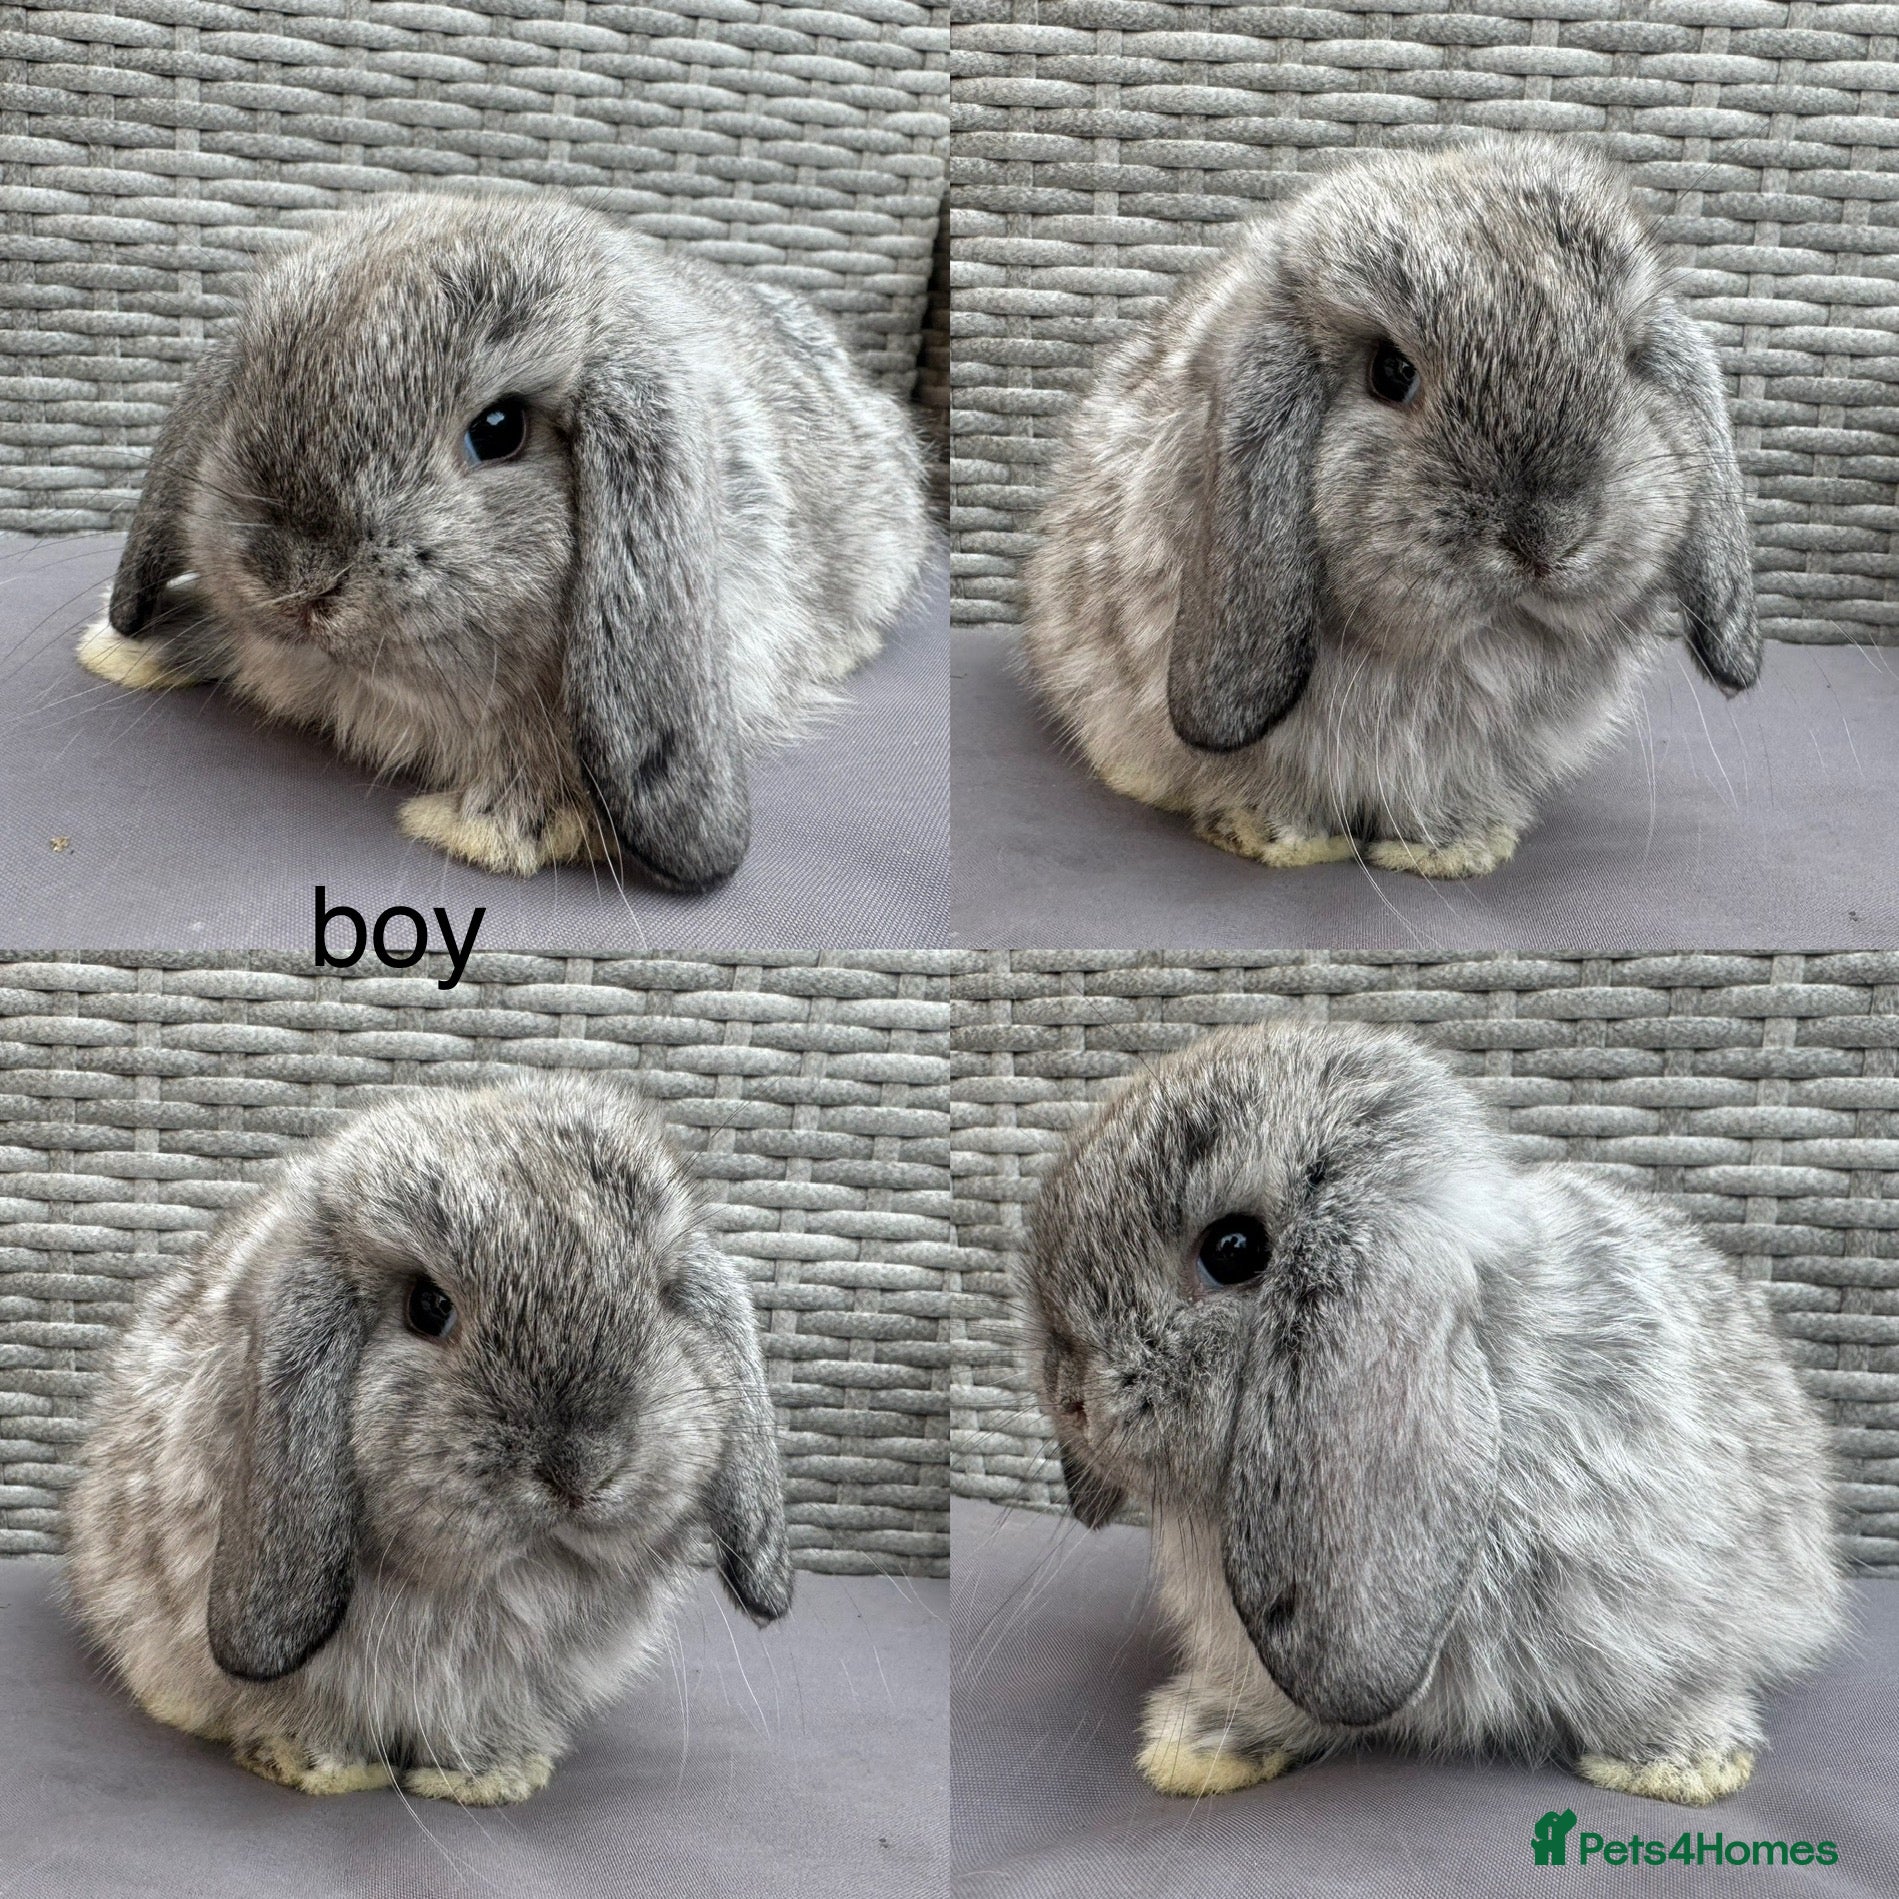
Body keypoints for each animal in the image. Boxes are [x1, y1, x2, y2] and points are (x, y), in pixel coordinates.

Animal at [62, 1074, 793, 1804]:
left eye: (663, 1296)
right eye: (428, 1307)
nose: (581, 1470)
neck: (507, 1578)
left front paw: (489, 1779)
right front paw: (319, 1768)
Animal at [1022, 136, 1759, 879]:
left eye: (1629, 361)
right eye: (1391, 373)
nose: (1547, 537)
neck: (1473, 647)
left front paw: (1452, 852)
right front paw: (1279, 840)